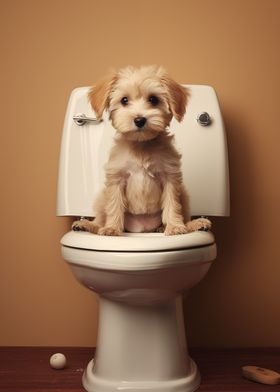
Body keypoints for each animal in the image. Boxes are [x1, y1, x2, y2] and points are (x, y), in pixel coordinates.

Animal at [72, 65, 210, 236]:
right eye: (124, 100)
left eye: (153, 99)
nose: (139, 120)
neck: (141, 145)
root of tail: (142, 228)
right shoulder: (116, 179)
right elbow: (114, 205)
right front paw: (112, 228)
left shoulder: (170, 178)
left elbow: (172, 204)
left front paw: (175, 226)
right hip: (102, 197)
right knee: (99, 219)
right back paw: (87, 225)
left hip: (183, 194)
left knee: (184, 214)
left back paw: (193, 224)